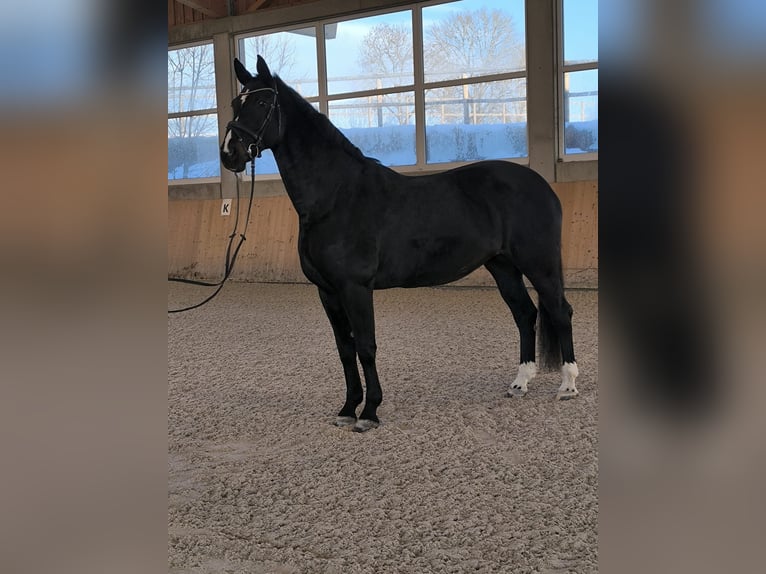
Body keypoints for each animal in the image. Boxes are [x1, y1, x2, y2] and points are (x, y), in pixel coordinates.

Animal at [220, 56, 579, 432]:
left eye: (263, 103)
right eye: (235, 103)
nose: (230, 153)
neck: (337, 196)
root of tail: (541, 184)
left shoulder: (355, 288)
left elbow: (365, 347)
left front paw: (369, 412)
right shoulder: (327, 291)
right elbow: (344, 350)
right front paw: (348, 408)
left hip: (540, 264)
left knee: (559, 311)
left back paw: (568, 385)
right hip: (502, 266)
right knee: (525, 314)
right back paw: (520, 383)